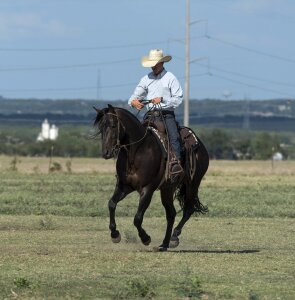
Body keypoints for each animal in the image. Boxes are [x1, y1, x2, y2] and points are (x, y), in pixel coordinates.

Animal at [93, 105, 209, 251]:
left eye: (113, 125)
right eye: (101, 127)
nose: (106, 152)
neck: (137, 151)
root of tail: (199, 144)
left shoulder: (147, 189)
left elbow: (137, 218)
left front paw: (145, 238)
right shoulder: (124, 186)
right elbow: (111, 204)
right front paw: (115, 235)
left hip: (192, 184)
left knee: (188, 210)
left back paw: (174, 237)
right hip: (167, 189)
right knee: (171, 213)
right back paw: (164, 244)